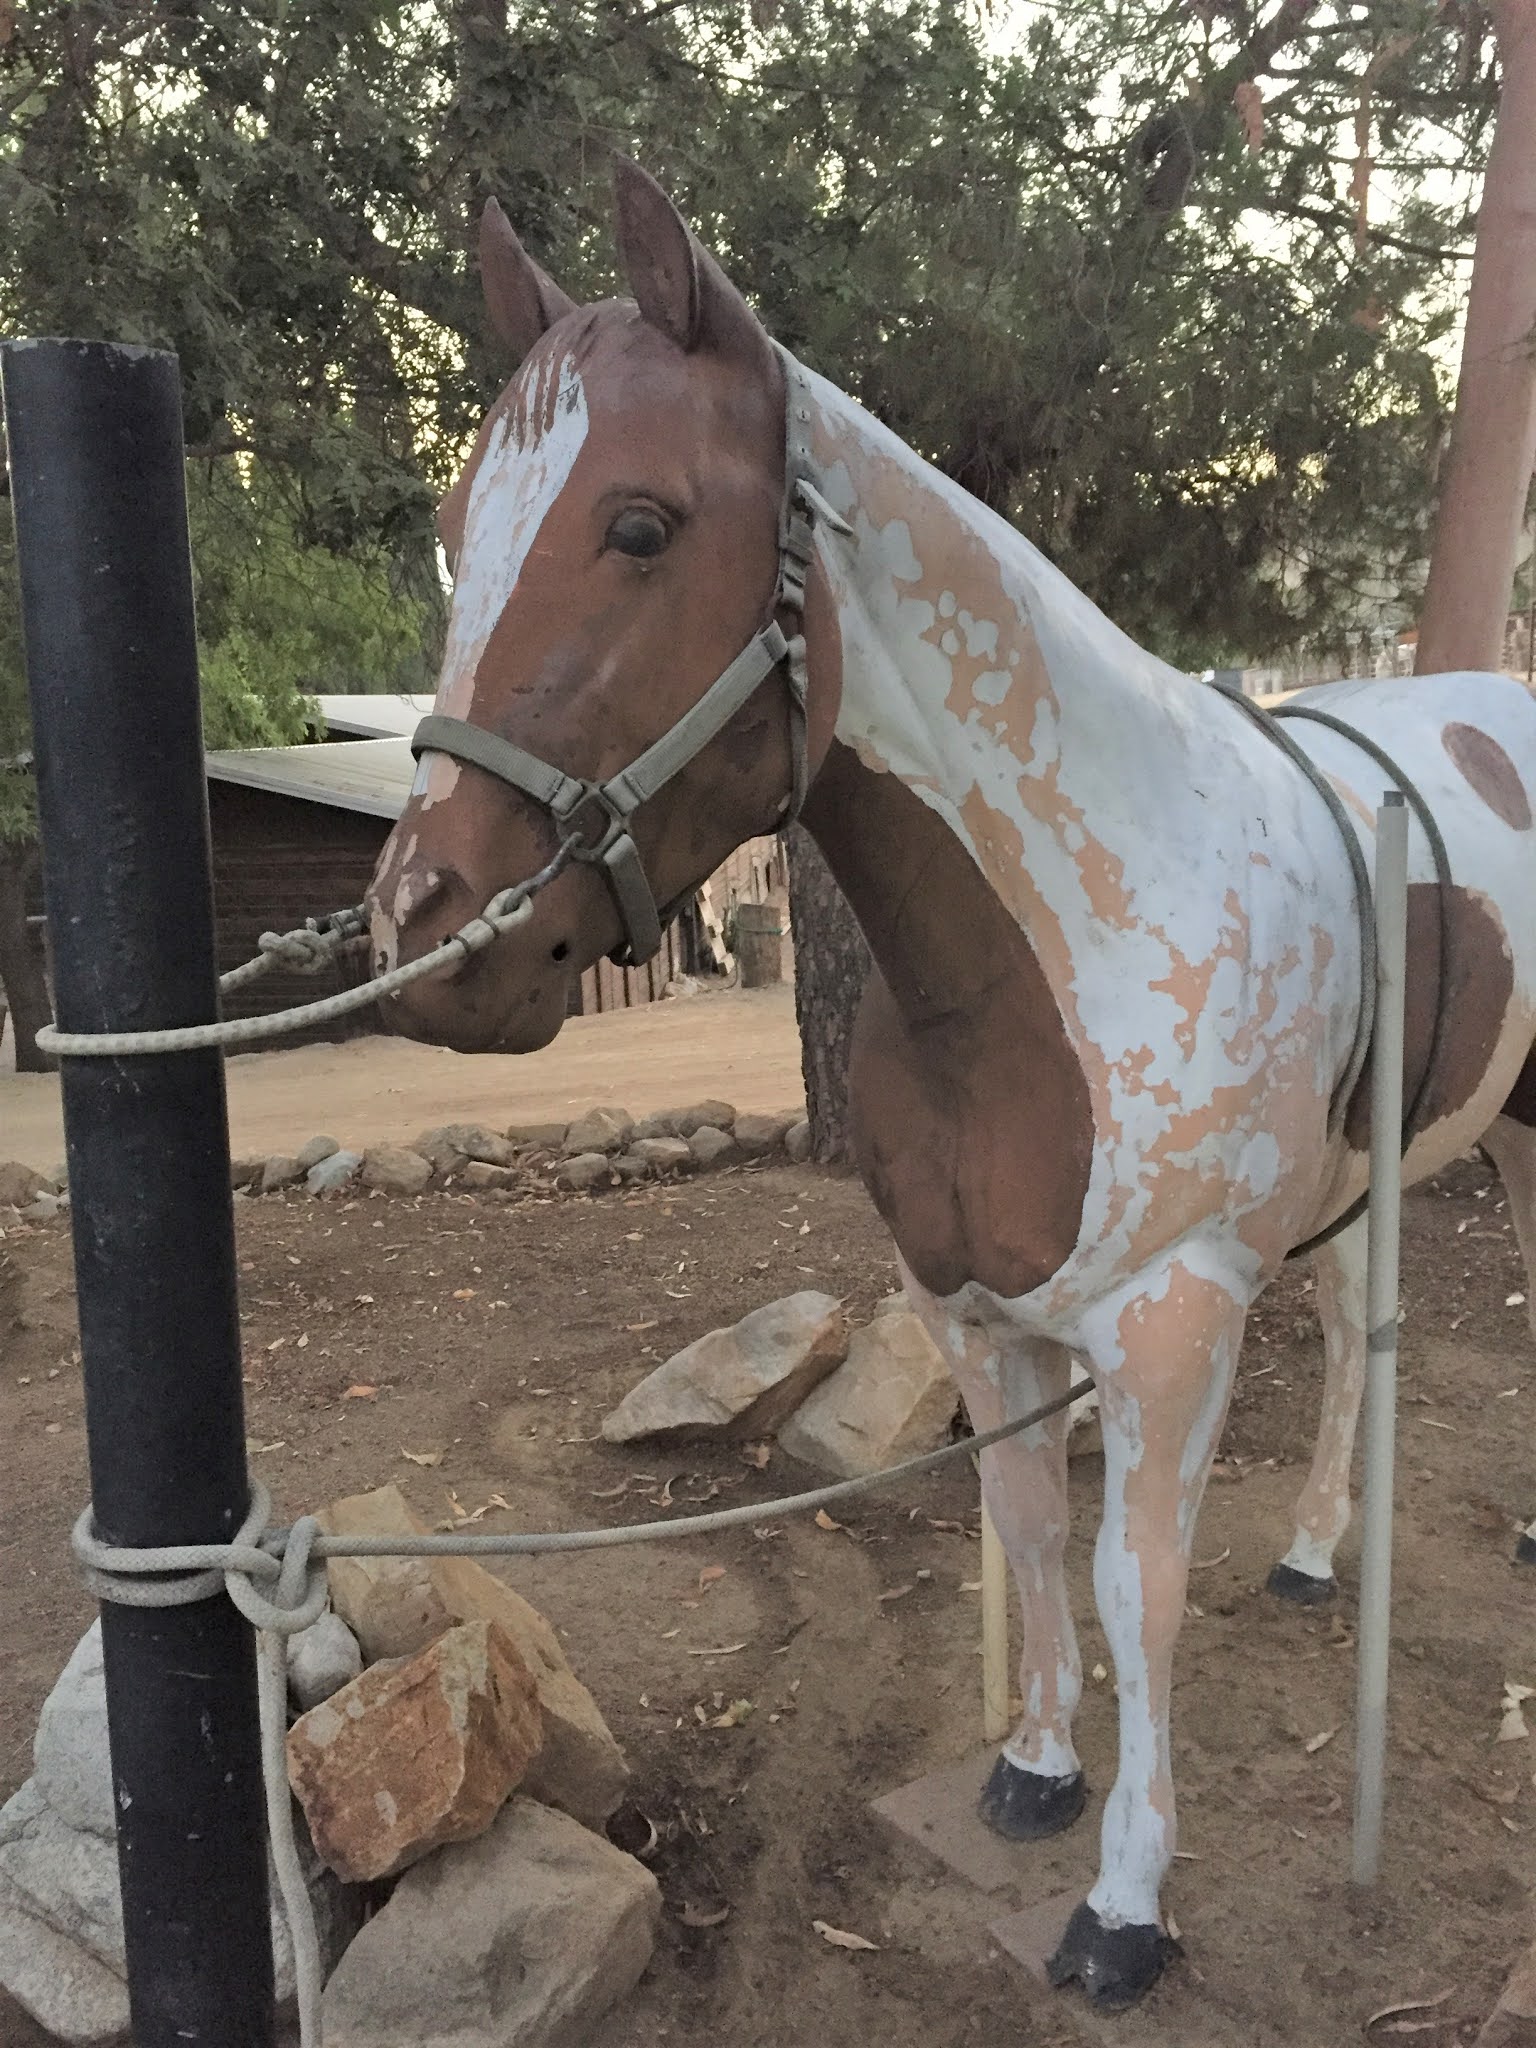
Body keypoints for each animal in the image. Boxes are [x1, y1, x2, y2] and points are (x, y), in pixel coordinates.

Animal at [364, 159, 1536, 2009]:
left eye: (640, 523)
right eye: (453, 521)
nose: (426, 928)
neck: (1077, 916)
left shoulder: (1172, 1320)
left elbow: (1136, 1589)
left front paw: (1126, 1906)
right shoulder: (980, 1311)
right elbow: (1035, 1538)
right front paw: (1038, 1774)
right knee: (1358, 1330)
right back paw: (1311, 1555)